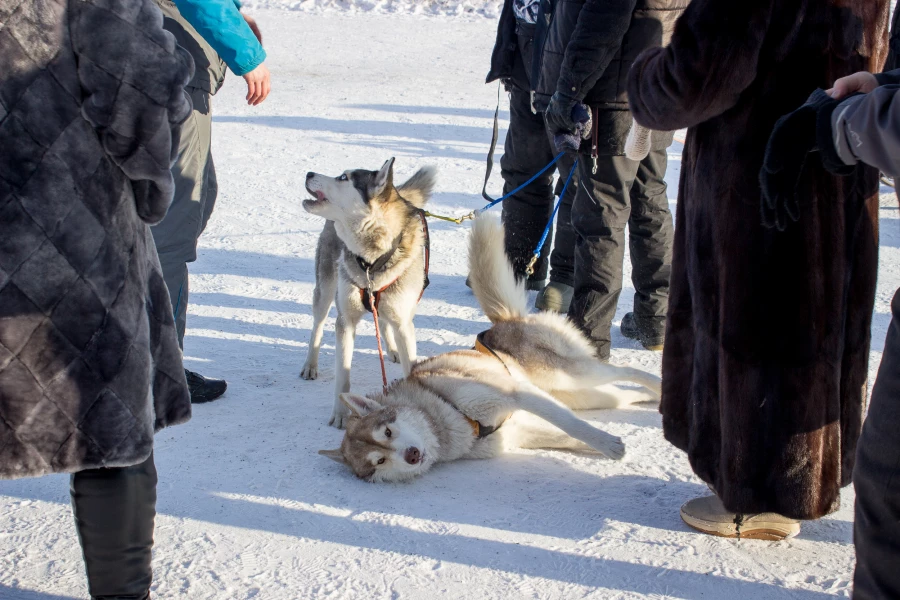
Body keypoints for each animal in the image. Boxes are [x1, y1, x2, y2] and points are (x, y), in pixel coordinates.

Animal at [300, 157, 438, 428]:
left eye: (344, 177)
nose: (309, 173)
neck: (371, 263)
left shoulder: (404, 323)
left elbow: (410, 365)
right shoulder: (346, 320)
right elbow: (343, 374)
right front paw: (341, 415)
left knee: (384, 322)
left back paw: (392, 350)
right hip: (326, 289)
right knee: (317, 325)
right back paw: (310, 364)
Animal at [318, 213, 660, 480]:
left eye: (388, 432)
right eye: (379, 460)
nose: (412, 455)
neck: (443, 417)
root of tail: (504, 321)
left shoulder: (513, 393)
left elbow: (572, 426)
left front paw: (611, 446)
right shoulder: (517, 431)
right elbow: (565, 436)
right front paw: (603, 448)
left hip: (572, 372)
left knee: (624, 370)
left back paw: (656, 384)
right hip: (580, 393)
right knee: (620, 396)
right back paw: (649, 398)